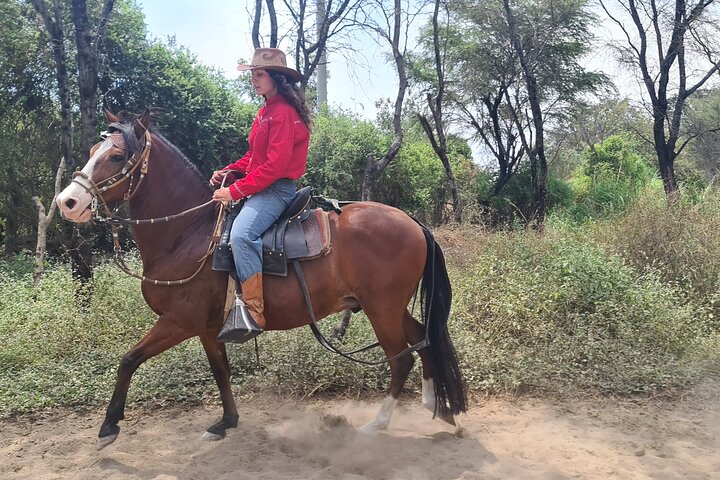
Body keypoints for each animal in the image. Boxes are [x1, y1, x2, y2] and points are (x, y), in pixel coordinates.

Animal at [56, 109, 467, 446]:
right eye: (93, 148)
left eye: (116, 156)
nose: (67, 202)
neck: (189, 233)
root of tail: (414, 223)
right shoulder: (207, 327)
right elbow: (220, 371)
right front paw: (226, 422)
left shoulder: (179, 321)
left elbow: (128, 360)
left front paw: (109, 427)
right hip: (390, 307)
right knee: (423, 340)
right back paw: (437, 407)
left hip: (382, 309)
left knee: (401, 359)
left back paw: (376, 425)